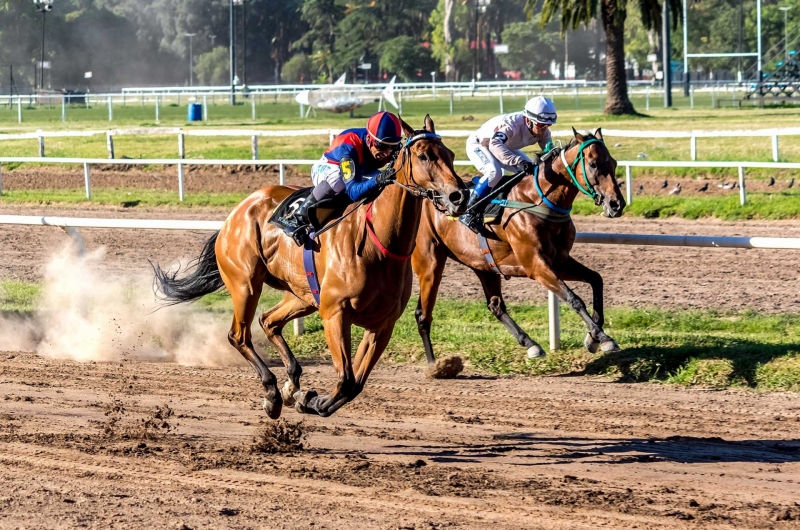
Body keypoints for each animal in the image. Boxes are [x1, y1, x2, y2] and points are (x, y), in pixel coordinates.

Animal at [155, 115, 468, 416]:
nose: (459, 195)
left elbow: (354, 385)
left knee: (268, 321)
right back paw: (272, 392)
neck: (379, 242)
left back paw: (291, 382)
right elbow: (345, 380)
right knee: (239, 335)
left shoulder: (382, 325)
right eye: (424, 155)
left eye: (451, 154)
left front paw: (306, 398)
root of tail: (236, 213)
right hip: (246, 284)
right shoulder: (335, 313)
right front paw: (310, 400)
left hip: (303, 295)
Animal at [416, 128, 628, 366]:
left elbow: (596, 279)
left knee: (495, 305)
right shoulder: (535, 265)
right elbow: (574, 298)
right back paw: (433, 363)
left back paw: (531, 344)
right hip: (430, 262)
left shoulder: (560, 261)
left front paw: (592, 338)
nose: (616, 204)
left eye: (613, 162)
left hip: (483, 265)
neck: (536, 200)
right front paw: (602, 337)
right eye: (593, 164)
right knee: (422, 313)